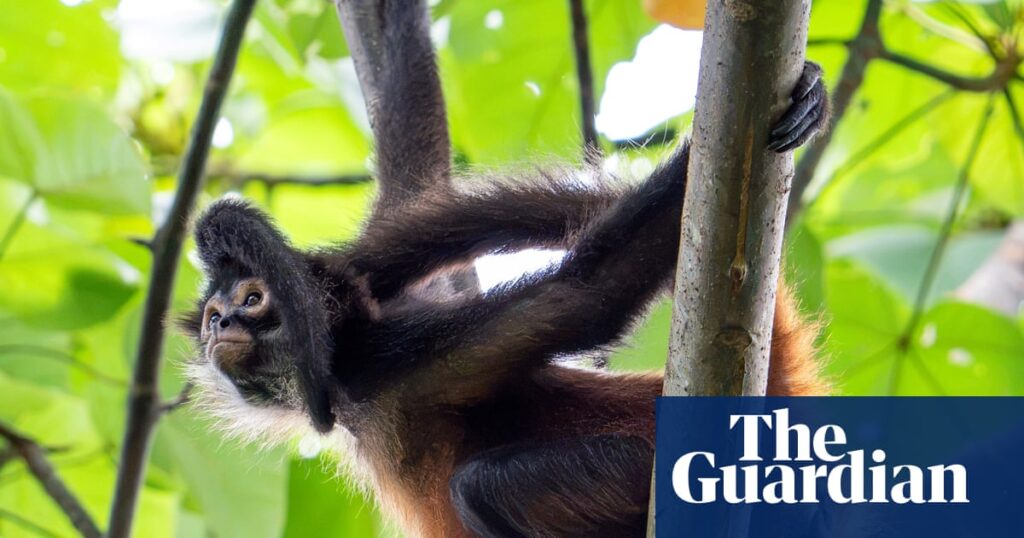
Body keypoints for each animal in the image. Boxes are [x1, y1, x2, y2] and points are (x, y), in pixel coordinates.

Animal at [180, 56, 828, 536]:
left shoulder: (401, 360)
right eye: (213, 314)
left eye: (252, 299)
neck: (345, 385)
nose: (221, 325)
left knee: (481, 488)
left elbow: (592, 293)